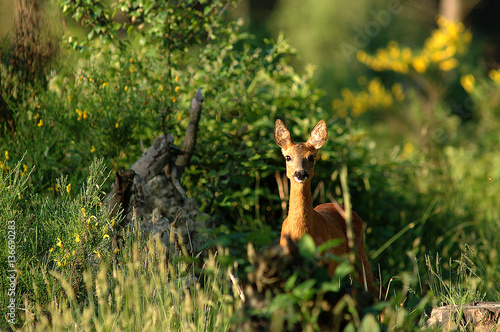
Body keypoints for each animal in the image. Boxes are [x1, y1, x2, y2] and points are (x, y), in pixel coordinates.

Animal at [276, 118, 380, 298]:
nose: (300, 173)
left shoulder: (323, 264)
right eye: (288, 157)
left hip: (356, 252)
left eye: (311, 157)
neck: (301, 234)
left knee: (375, 286)